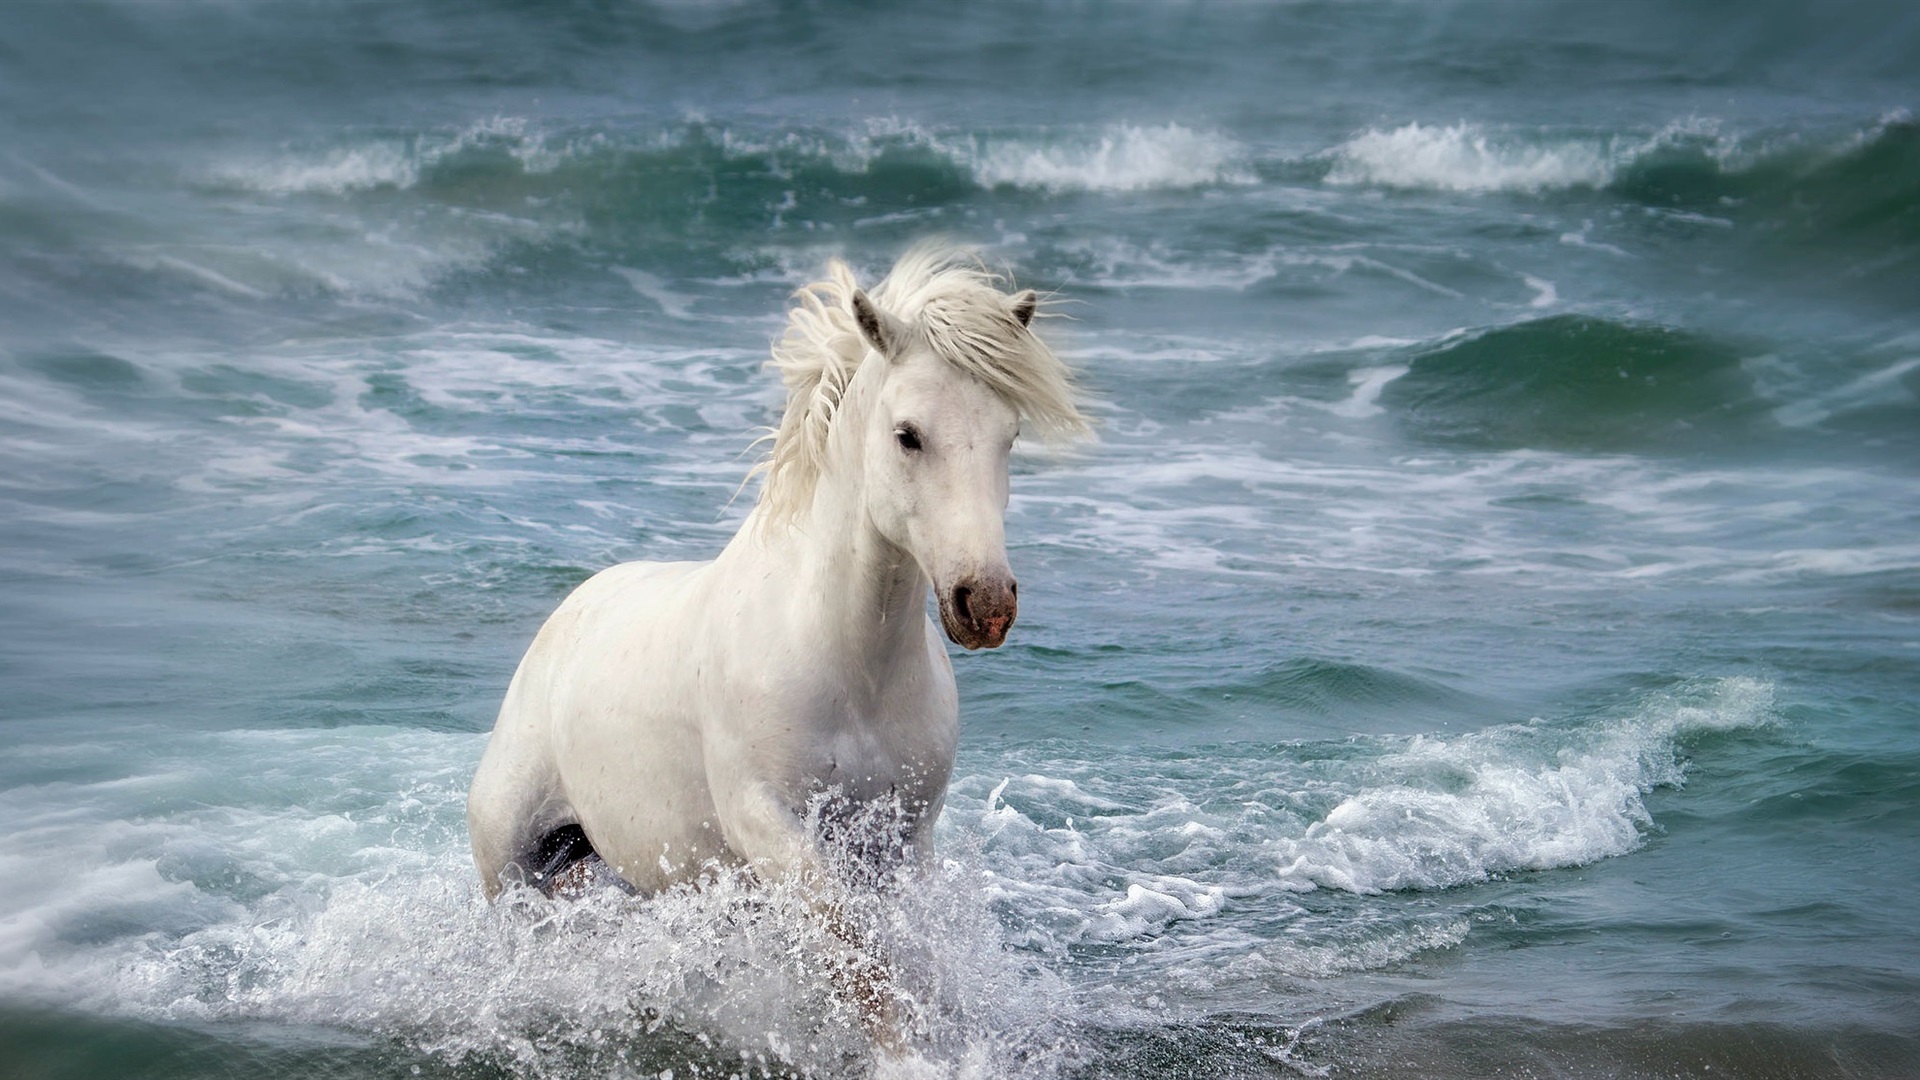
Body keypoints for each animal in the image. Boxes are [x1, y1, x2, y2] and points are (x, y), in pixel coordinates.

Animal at [466, 243, 1087, 1040]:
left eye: (1010, 437)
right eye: (908, 434)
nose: (985, 603)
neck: (848, 665)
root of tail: (566, 617)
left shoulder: (903, 838)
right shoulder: (766, 823)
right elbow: (855, 956)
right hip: (509, 862)